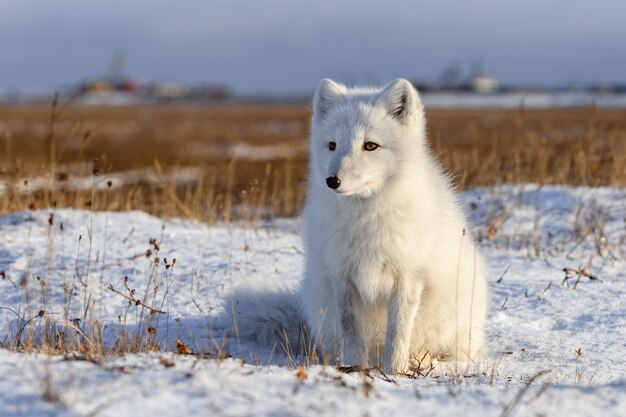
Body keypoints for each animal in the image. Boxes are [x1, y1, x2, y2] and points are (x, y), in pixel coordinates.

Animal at [229, 78, 488, 374]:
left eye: (370, 146)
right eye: (332, 145)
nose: (332, 181)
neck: (366, 217)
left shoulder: (408, 277)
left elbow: (398, 333)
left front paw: (394, 371)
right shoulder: (343, 275)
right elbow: (351, 330)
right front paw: (353, 367)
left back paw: (420, 359)